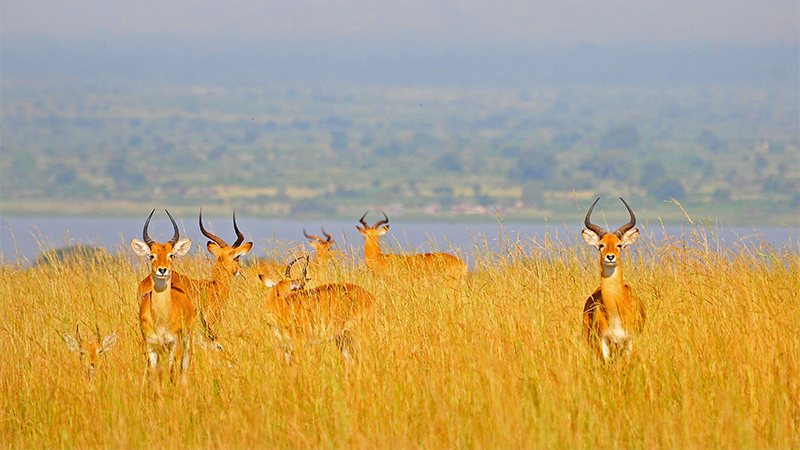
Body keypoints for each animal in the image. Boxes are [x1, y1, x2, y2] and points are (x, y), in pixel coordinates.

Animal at [131, 209, 195, 384]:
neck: (161, 319)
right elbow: (154, 375)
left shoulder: (174, 345)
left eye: (171, 255)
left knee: (184, 369)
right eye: (151, 255)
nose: (162, 270)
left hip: (187, 343)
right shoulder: (151, 346)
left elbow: (173, 373)